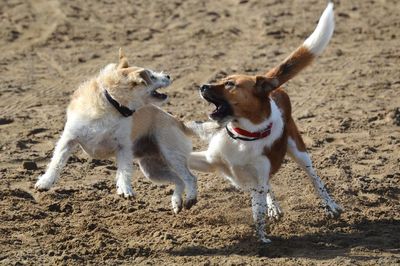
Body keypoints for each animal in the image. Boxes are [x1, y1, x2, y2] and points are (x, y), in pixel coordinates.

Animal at [35, 48, 198, 213]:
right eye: (151, 76)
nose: (168, 75)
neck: (112, 103)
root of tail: (178, 121)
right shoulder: (68, 139)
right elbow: (57, 161)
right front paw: (45, 182)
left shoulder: (123, 147)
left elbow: (124, 170)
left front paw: (125, 189)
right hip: (152, 169)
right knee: (179, 180)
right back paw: (177, 202)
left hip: (171, 155)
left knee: (190, 177)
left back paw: (190, 199)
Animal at [189, 2, 342, 243]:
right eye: (222, 79)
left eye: (230, 84)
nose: (203, 86)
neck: (244, 136)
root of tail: (270, 84)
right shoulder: (210, 160)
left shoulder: (258, 182)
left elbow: (257, 214)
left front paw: (262, 239)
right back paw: (275, 208)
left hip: (299, 151)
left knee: (315, 179)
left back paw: (331, 206)